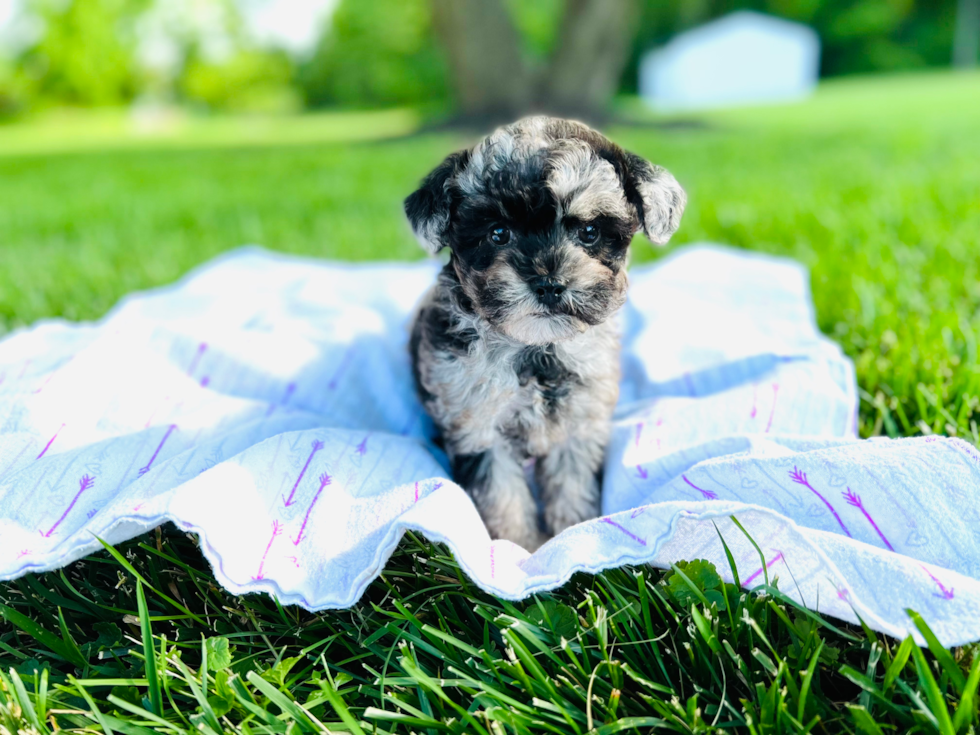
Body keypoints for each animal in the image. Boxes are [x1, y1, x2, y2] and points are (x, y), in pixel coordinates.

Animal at [402, 118, 684, 548]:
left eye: (589, 232)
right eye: (498, 233)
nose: (549, 283)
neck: (537, 350)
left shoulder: (579, 428)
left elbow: (572, 486)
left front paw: (570, 533)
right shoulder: (478, 430)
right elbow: (503, 497)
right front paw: (520, 548)